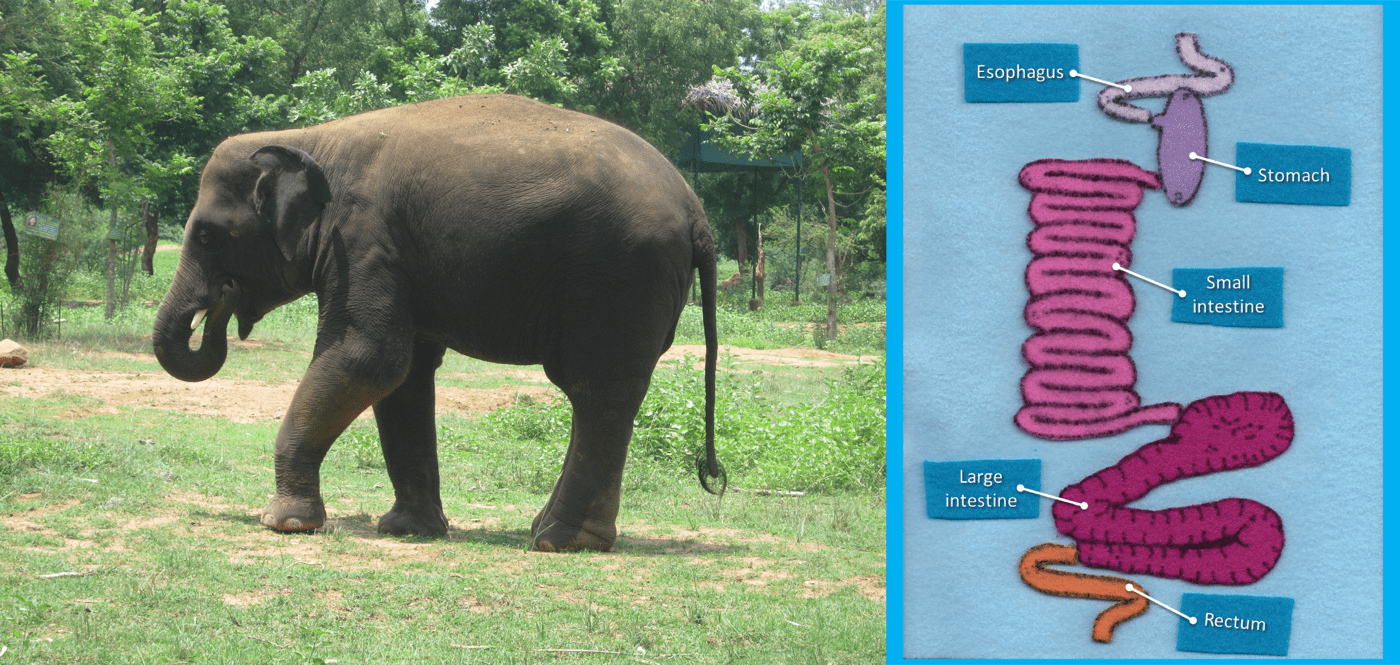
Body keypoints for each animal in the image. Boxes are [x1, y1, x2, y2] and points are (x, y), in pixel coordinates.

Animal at [152, 94, 723, 552]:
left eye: (206, 235)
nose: (221, 301)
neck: (311, 138)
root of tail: (698, 214)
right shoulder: (398, 260)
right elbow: (403, 377)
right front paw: (408, 530)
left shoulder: (364, 240)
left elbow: (369, 358)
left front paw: (283, 524)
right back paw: (545, 531)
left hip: (617, 279)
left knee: (596, 390)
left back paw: (560, 543)